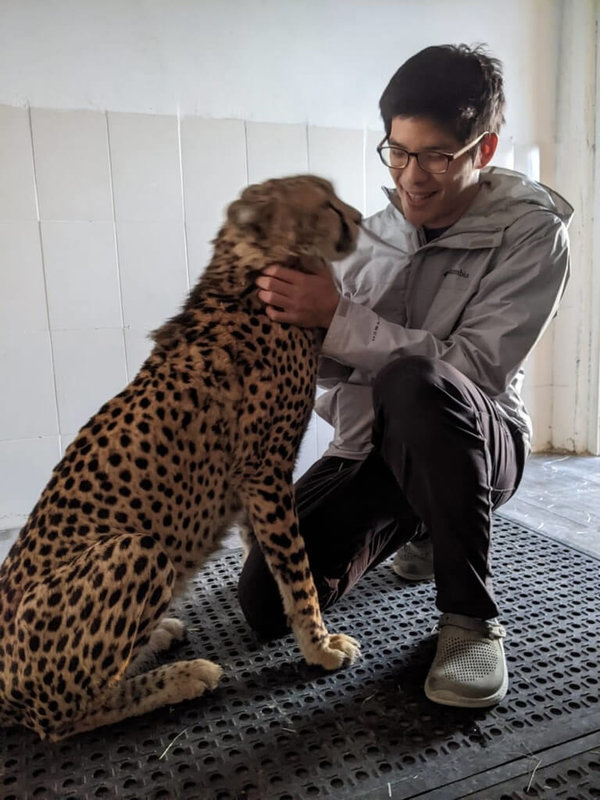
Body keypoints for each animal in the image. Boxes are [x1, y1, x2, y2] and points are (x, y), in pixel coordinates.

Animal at [0, 177, 360, 744]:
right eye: (325, 203)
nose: (360, 218)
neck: (248, 268)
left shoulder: (253, 482)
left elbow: (265, 555)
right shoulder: (265, 469)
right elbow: (295, 568)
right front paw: (319, 645)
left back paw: (160, 637)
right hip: (138, 550)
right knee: (58, 719)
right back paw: (185, 676)